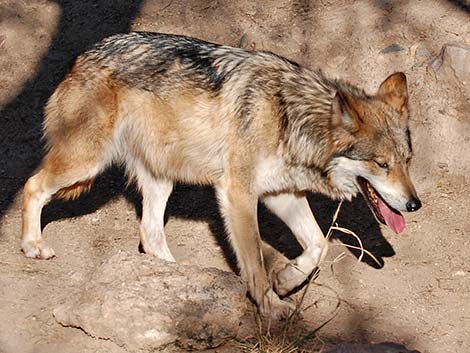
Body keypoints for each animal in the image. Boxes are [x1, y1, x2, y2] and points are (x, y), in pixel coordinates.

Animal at [20, 33, 420, 318]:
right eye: (382, 164)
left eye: (407, 161)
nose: (415, 204)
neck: (287, 117)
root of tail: (82, 56)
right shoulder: (237, 192)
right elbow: (255, 263)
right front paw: (270, 307)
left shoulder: (280, 194)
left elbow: (318, 246)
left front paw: (287, 280)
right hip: (85, 163)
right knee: (32, 185)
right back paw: (32, 245)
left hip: (161, 178)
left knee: (150, 233)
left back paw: (178, 278)